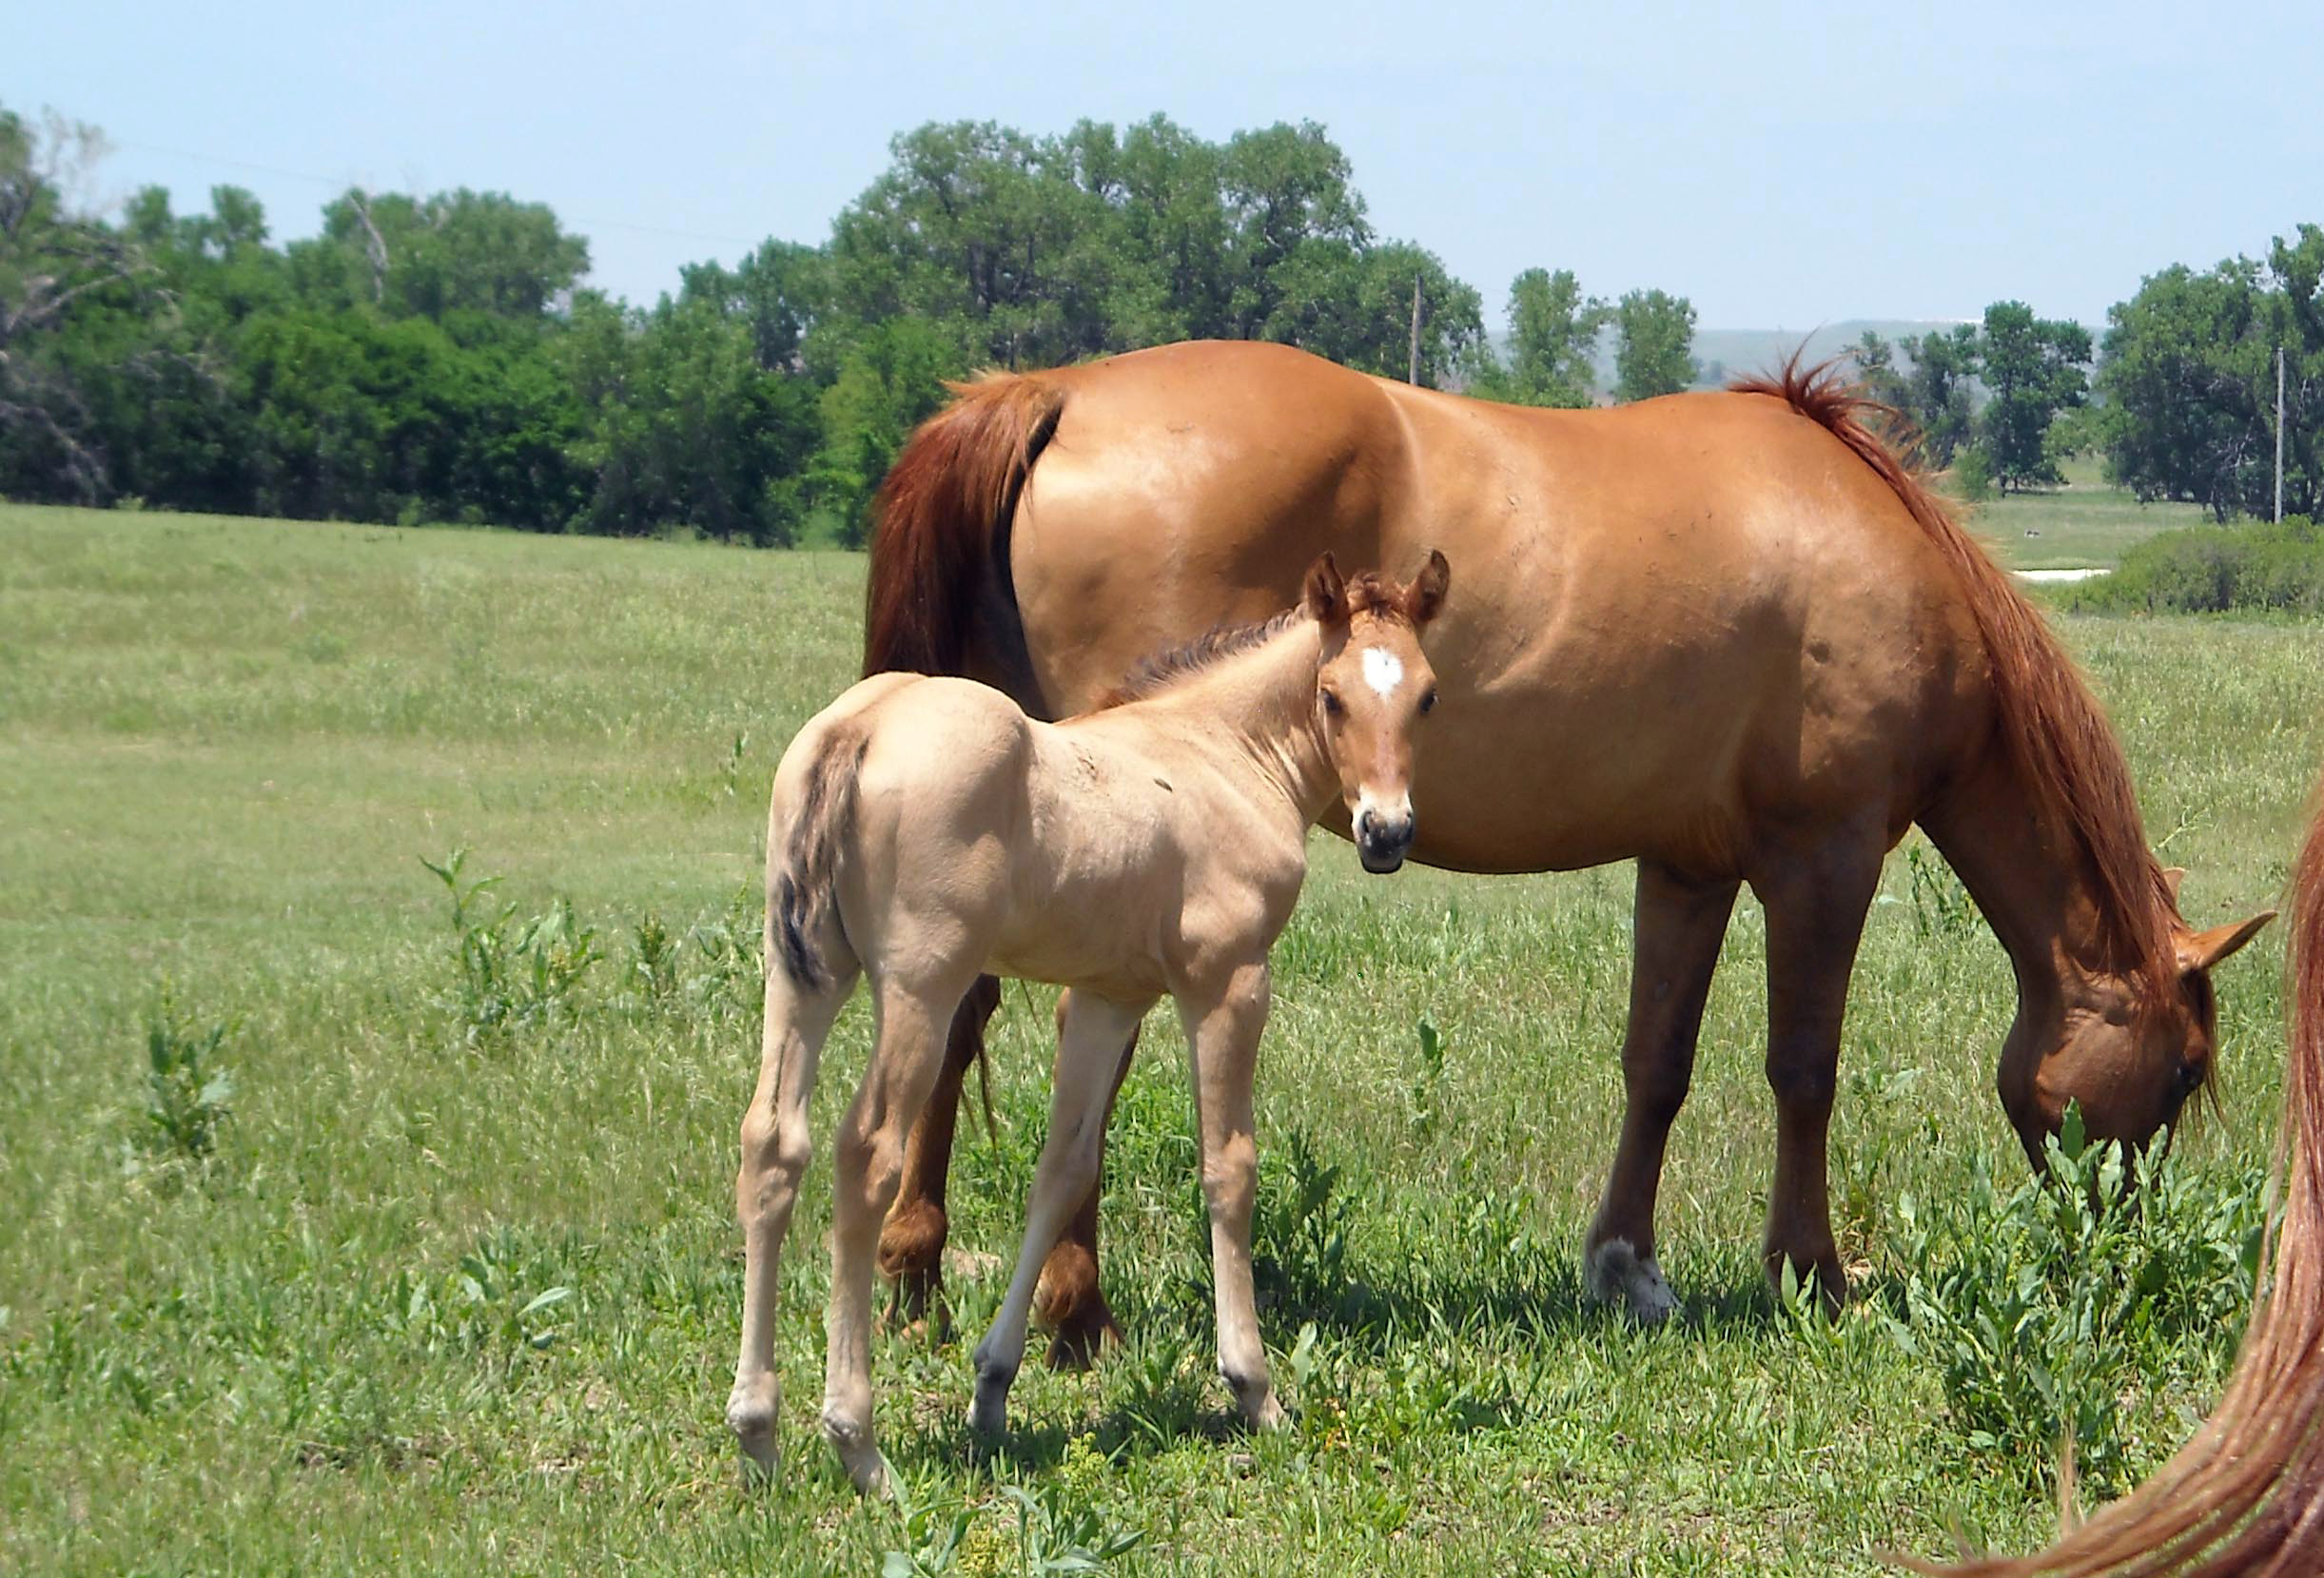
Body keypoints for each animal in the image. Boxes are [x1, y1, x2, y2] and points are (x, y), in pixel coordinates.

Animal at [730, 548, 1450, 1487]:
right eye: (1331, 695)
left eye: (1426, 694)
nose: (1385, 832)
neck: (1223, 753)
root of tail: (858, 729)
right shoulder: (1226, 982)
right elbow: (1228, 1168)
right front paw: (1254, 1388)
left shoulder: (1111, 998)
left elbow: (1062, 1168)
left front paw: (992, 1388)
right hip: (923, 983)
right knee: (867, 1153)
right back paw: (857, 1441)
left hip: (801, 971)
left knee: (772, 1143)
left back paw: (757, 1432)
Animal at [859, 341, 2268, 1356]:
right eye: (2184, 1069)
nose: (2113, 1252)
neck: (1878, 552)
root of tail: (1054, 393)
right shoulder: (1823, 858)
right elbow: (1801, 1068)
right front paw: (1809, 1272)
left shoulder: (1688, 864)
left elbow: (1656, 1063)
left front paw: (1623, 1265)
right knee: (1072, 1032)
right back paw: (1074, 1313)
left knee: (962, 1005)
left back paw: (916, 1272)